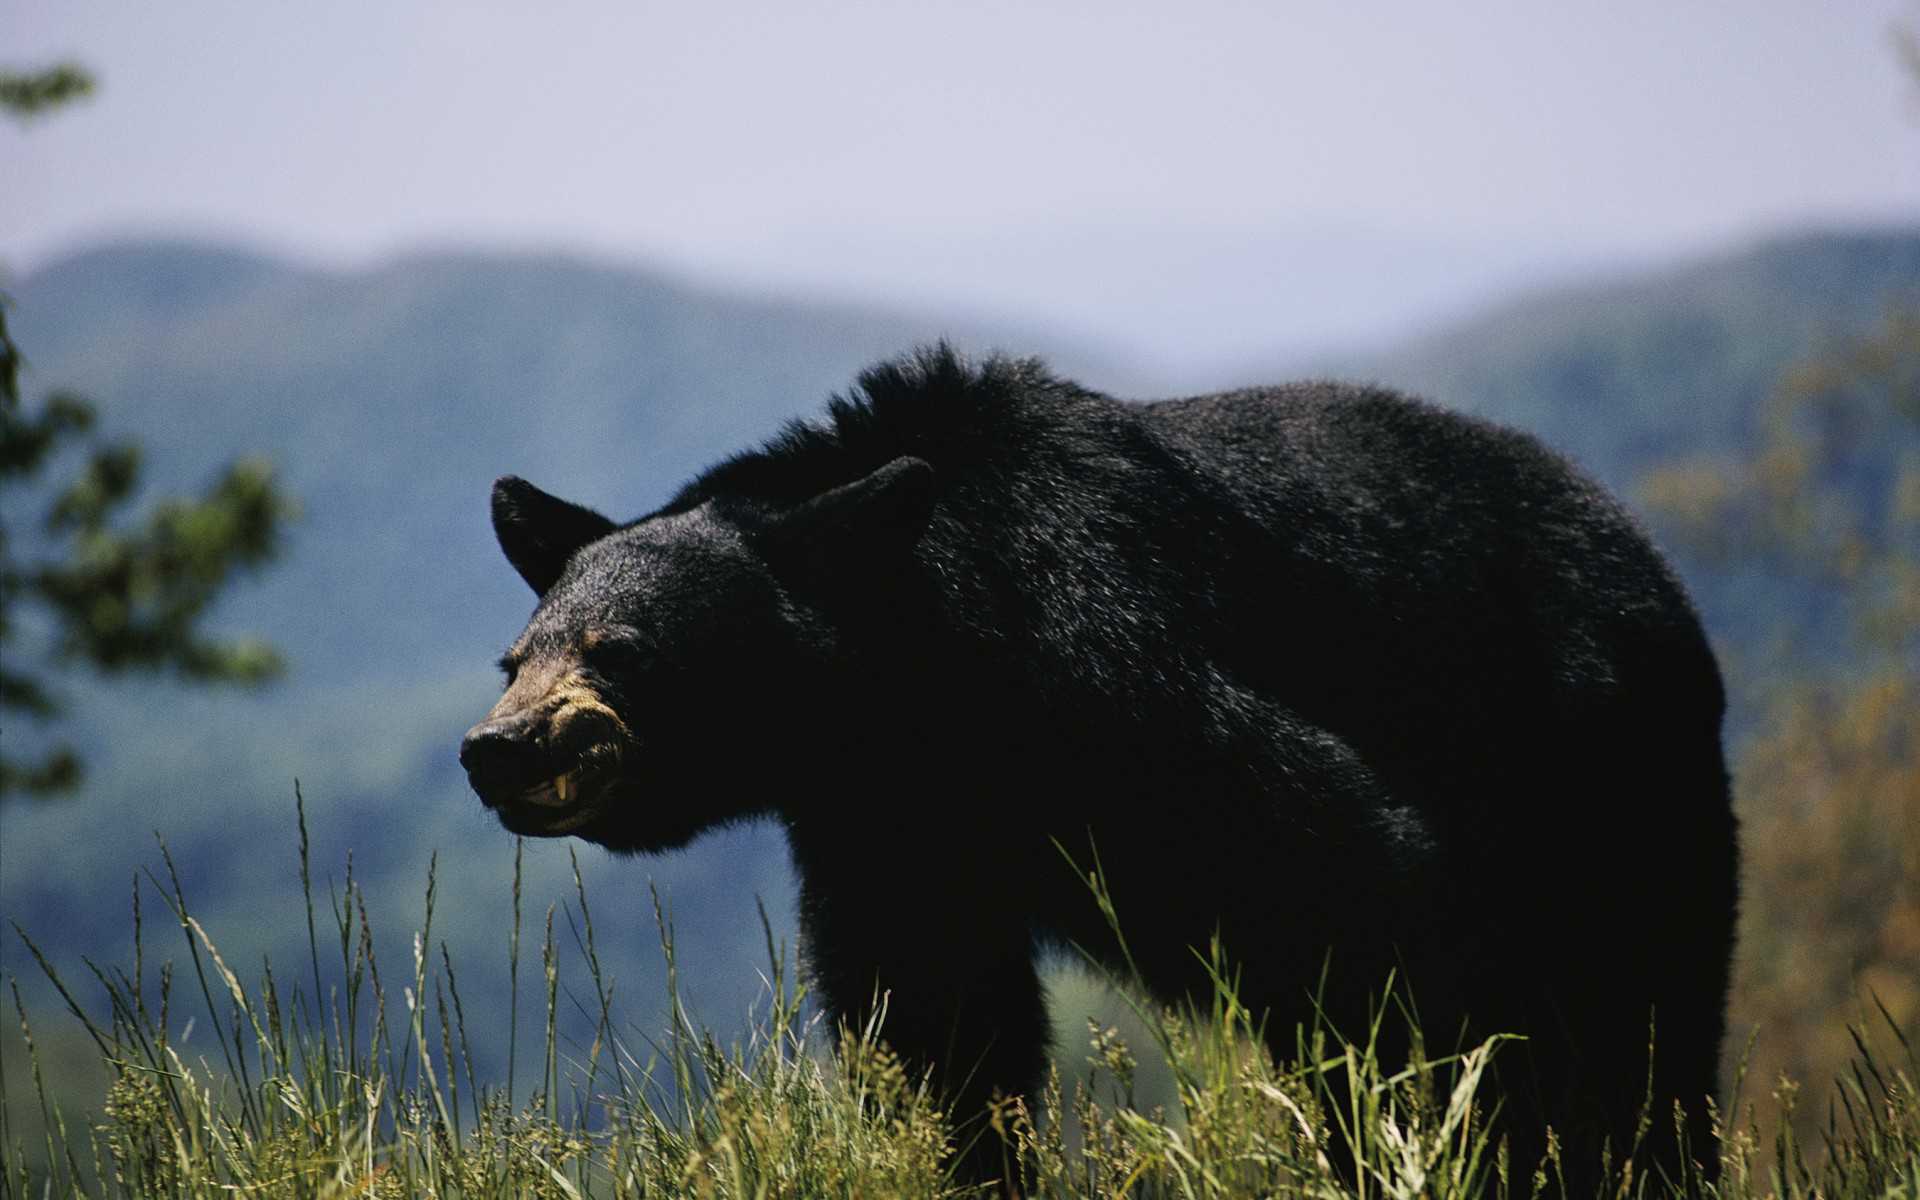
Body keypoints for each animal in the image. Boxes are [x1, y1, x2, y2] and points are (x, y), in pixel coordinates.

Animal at [460, 344, 1737, 1187]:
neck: (933, 656)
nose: (500, 749)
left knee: (1638, 1013)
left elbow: (1337, 873)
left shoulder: (1115, 667)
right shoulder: (890, 815)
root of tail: (1643, 551)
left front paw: (1410, 1137)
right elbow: (935, 1017)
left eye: (622, 648)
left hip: (1606, 759)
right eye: (514, 655)